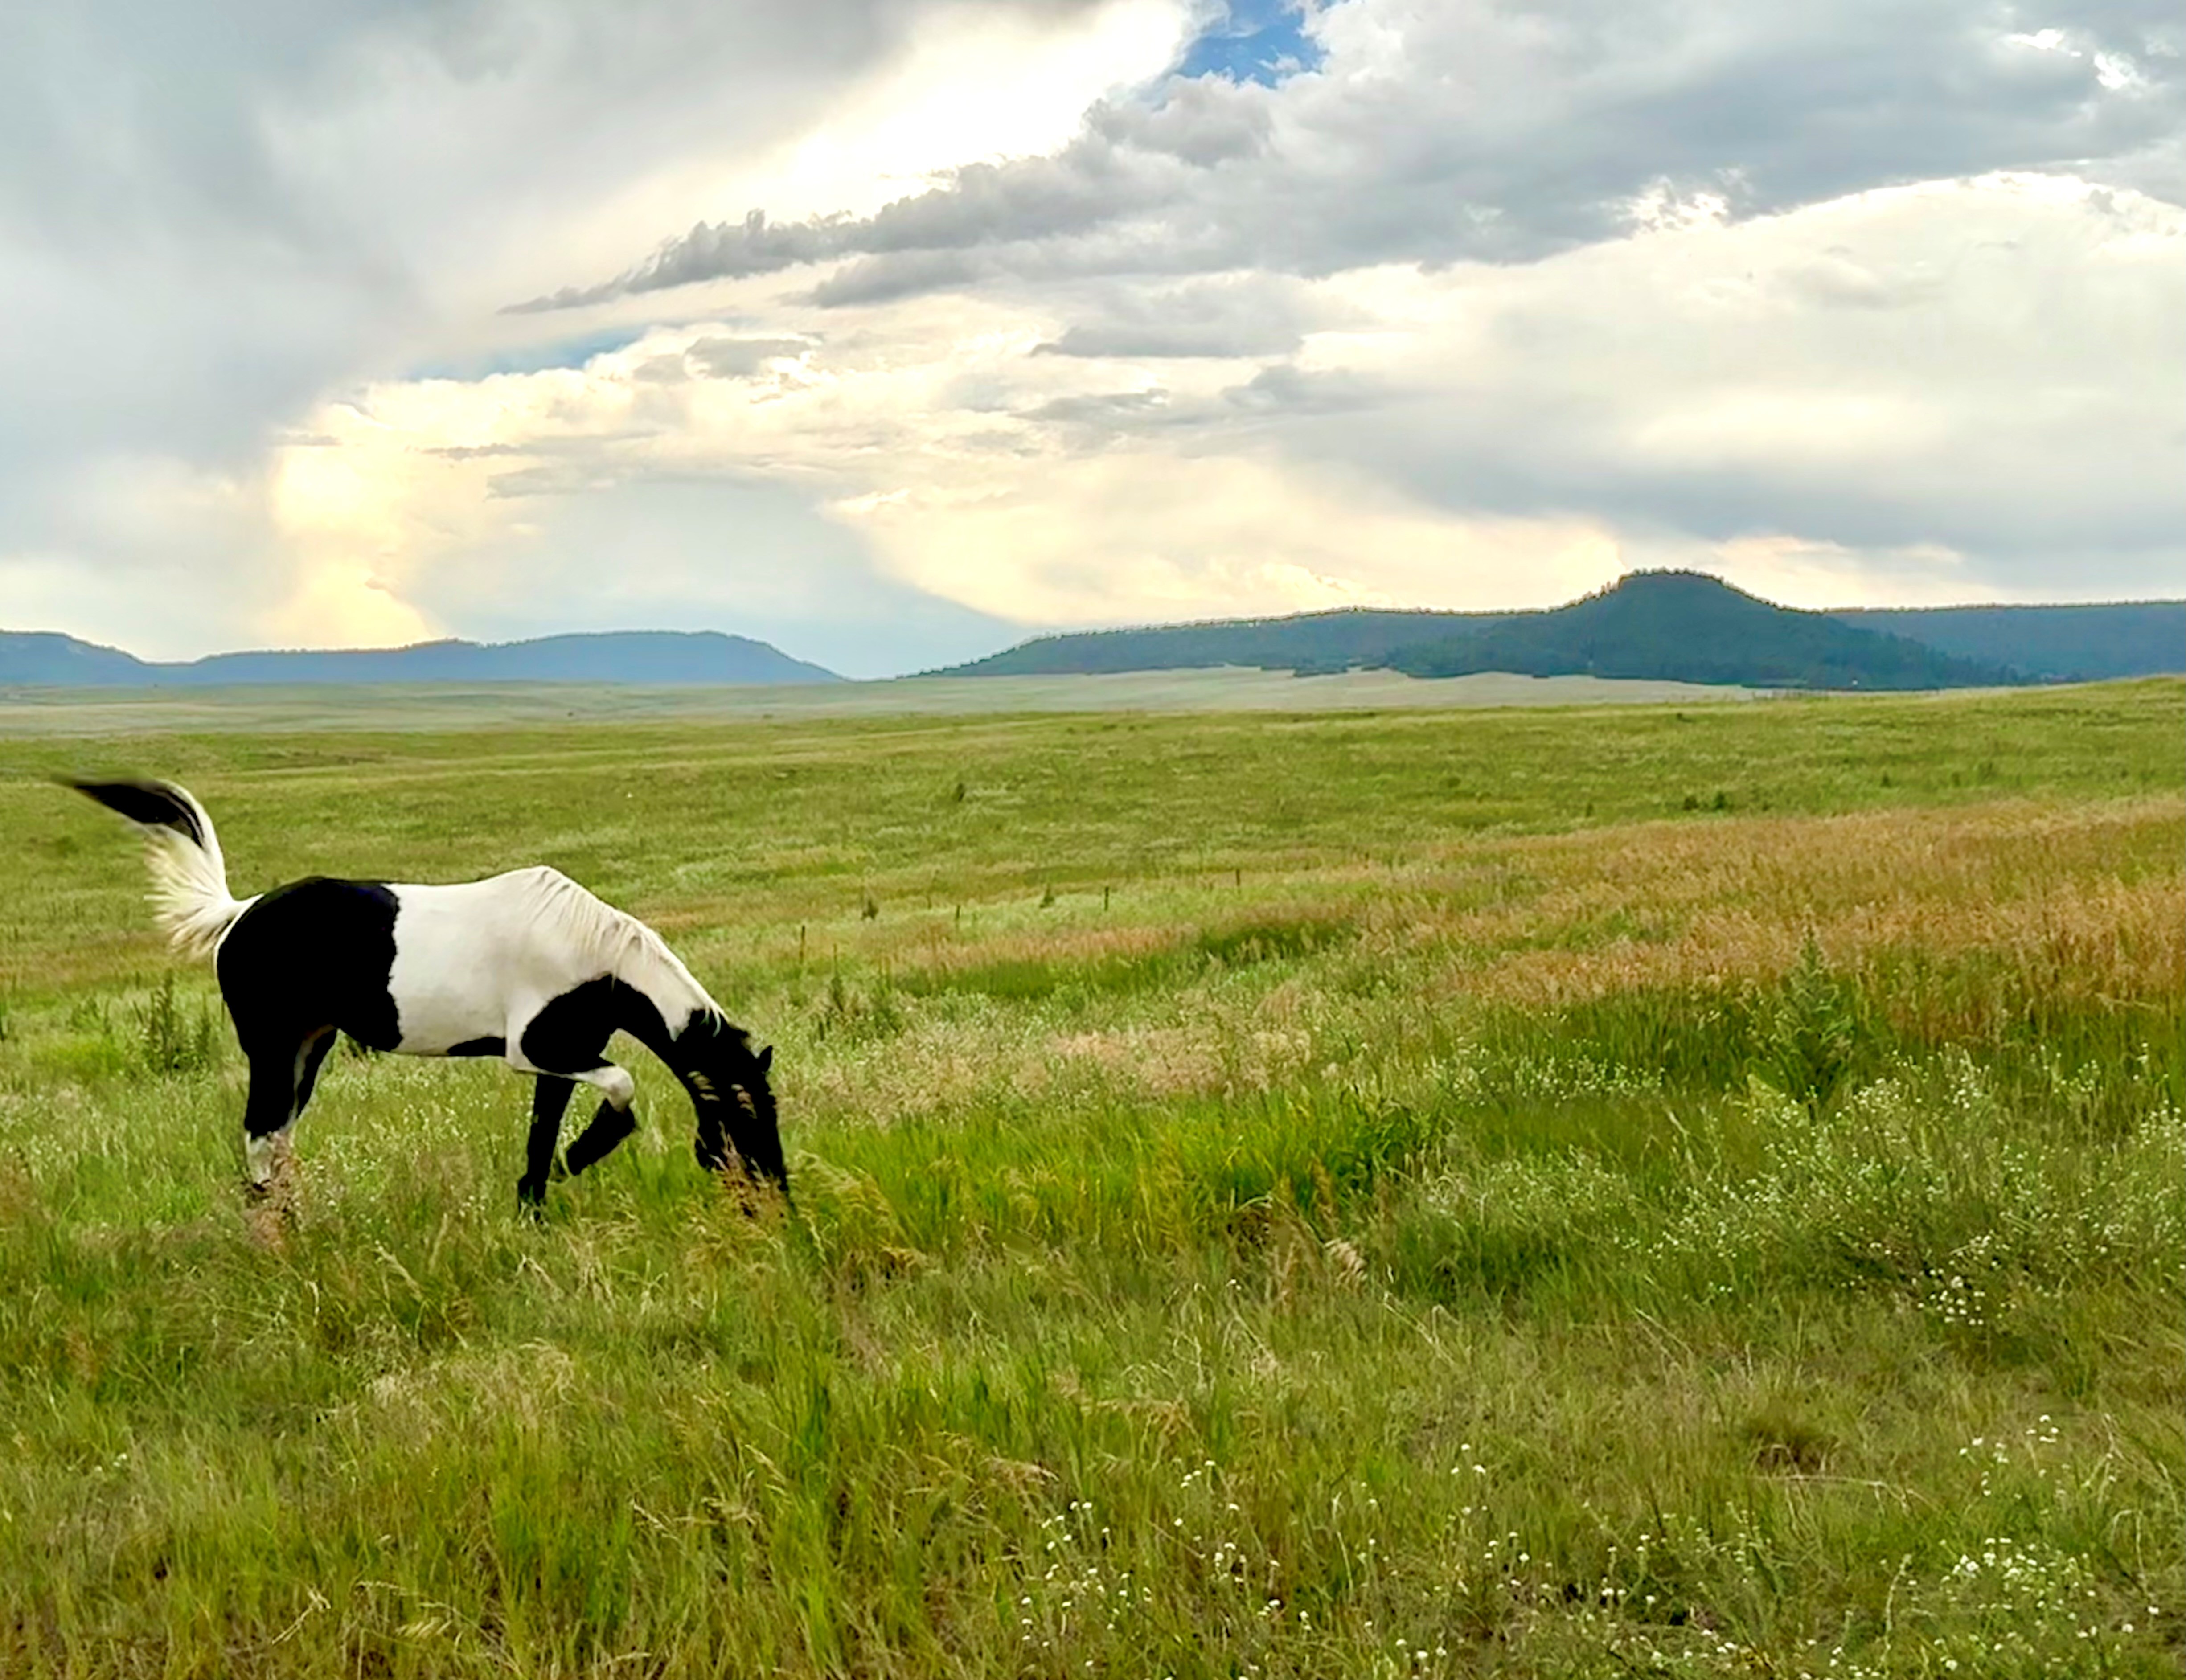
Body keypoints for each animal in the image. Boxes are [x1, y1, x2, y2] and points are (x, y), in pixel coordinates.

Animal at [65, 777, 784, 1213]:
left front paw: (538, 1201)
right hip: (271, 1047)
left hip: (309, 1047)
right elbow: (621, 1087)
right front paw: (582, 1156)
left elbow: (542, 1136)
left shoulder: (563, 1056)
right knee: (261, 1138)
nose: (779, 1205)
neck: (595, 958)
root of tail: (238, 913)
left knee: (279, 1138)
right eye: (745, 1123)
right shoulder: (535, 1049)